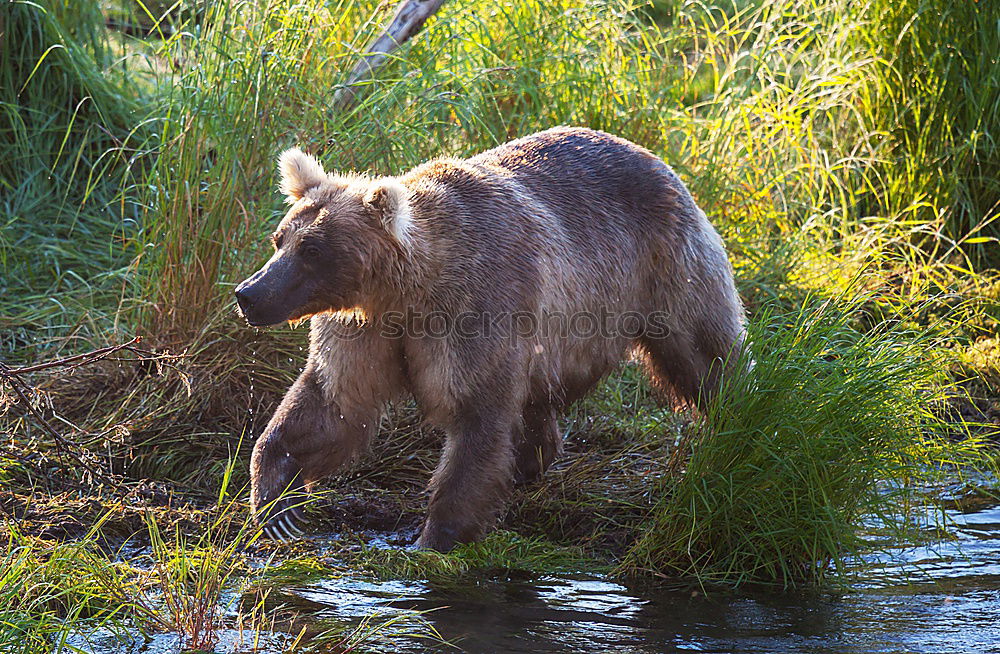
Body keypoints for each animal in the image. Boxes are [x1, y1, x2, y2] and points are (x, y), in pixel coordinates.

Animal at [236, 125, 744, 552]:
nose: (249, 293)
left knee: (705, 354)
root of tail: (655, 159)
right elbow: (335, 401)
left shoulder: (476, 308)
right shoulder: (366, 328)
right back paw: (529, 463)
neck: (406, 291)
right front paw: (276, 503)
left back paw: (742, 416)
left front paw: (433, 540)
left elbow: (475, 418)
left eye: (312, 249)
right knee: (537, 403)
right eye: (280, 238)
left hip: (666, 268)